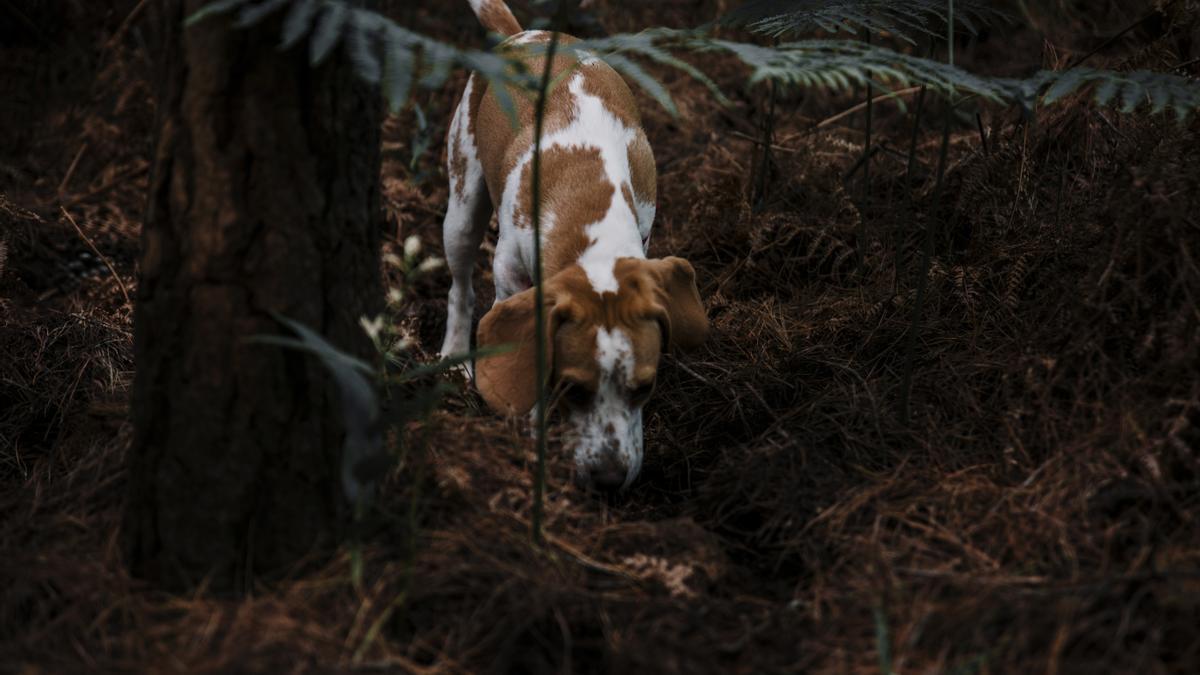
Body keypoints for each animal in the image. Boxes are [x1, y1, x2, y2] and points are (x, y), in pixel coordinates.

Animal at [441, 0, 705, 485]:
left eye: (644, 387)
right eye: (573, 388)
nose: (610, 479)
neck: (590, 209)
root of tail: (522, 33)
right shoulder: (510, 278)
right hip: (462, 206)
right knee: (460, 288)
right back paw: (453, 354)